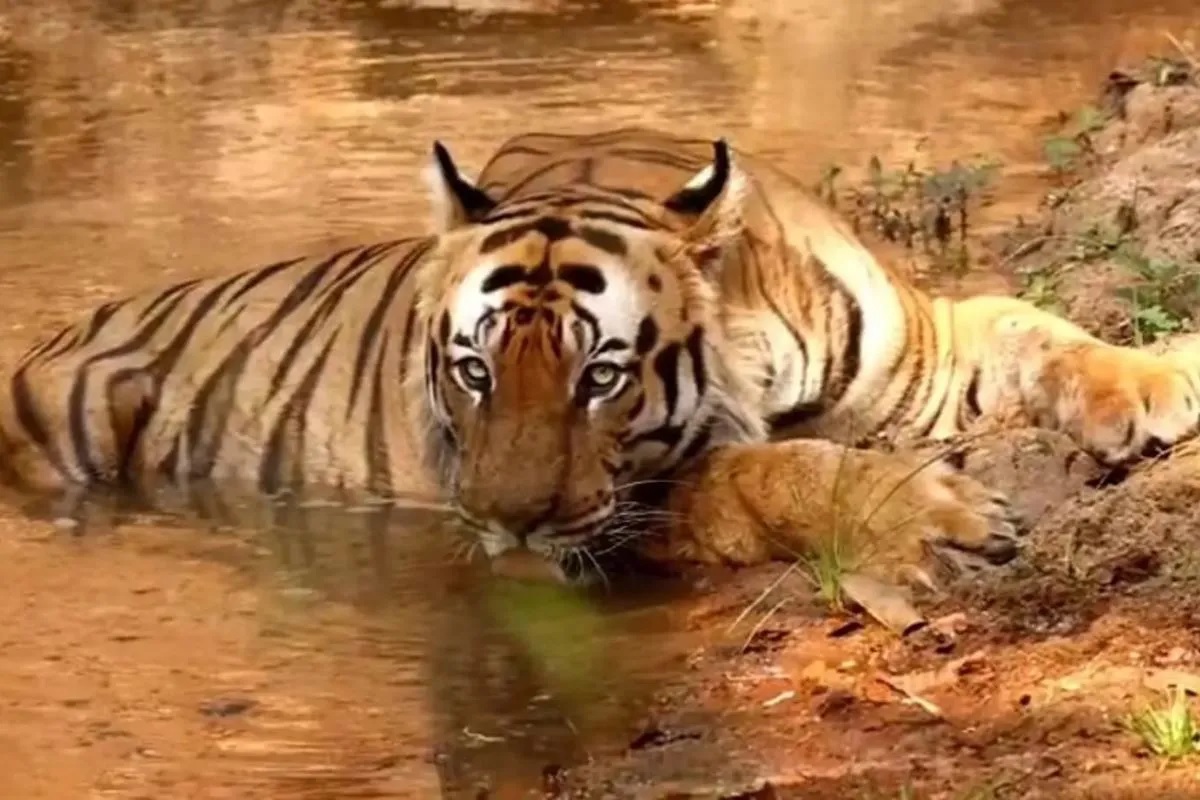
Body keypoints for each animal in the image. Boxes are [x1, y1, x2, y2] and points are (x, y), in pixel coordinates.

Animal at [2, 127, 1197, 588]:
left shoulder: (927, 351)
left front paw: (1159, 380)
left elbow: (1029, 321)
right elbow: (778, 469)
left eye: (600, 377)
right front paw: (942, 517)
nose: (505, 527)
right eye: (474, 373)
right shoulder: (645, 500)